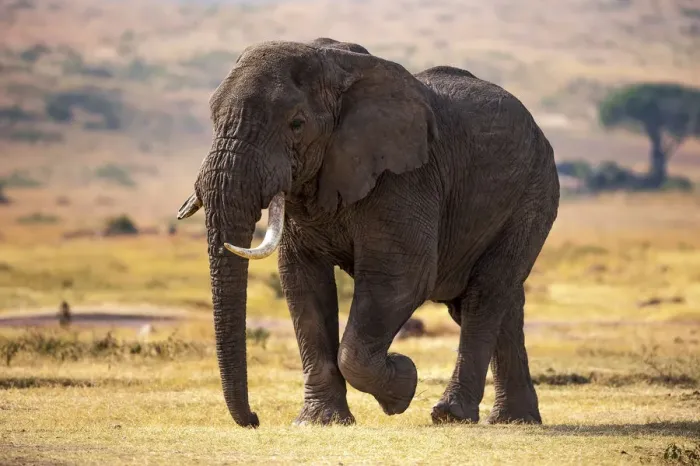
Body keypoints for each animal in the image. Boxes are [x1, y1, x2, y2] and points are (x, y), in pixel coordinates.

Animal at [177, 37, 560, 428]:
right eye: (213, 118)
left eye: (297, 124)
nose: (254, 419)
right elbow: (302, 283)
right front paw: (320, 421)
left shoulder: (404, 179)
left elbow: (400, 279)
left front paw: (403, 382)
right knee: (497, 303)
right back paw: (516, 420)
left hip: (533, 193)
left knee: (484, 295)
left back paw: (451, 414)